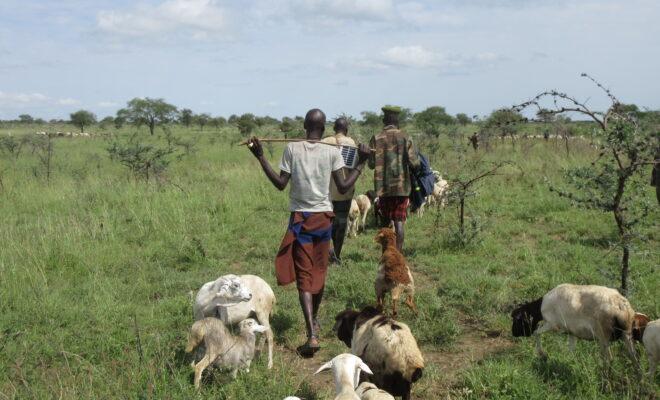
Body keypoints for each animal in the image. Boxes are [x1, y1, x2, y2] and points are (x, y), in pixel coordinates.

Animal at [510, 282, 644, 368]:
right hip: (626, 334)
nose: (513, 334)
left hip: (603, 335)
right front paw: (570, 363)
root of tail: (621, 305)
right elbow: (571, 349)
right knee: (634, 357)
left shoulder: (552, 324)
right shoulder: (572, 332)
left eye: (516, 320)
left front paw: (542, 354)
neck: (540, 308)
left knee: (609, 359)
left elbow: (536, 333)